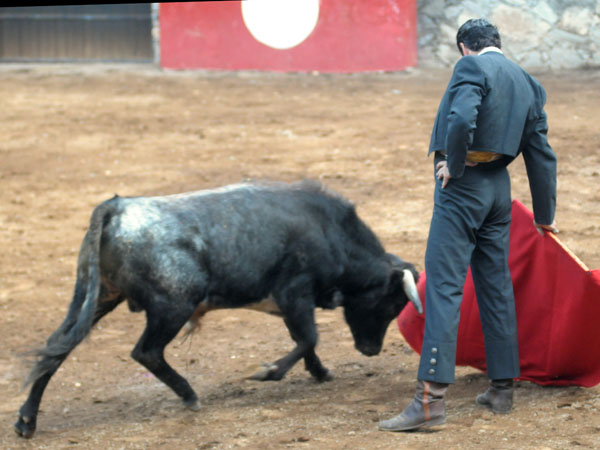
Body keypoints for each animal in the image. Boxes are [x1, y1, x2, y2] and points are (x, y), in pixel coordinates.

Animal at [14, 180, 421, 438]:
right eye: (391, 302)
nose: (371, 350)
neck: (331, 232)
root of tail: (118, 207)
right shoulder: (294, 292)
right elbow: (308, 337)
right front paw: (268, 372)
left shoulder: (292, 302)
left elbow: (305, 340)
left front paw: (320, 372)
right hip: (173, 305)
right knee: (146, 352)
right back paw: (189, 395)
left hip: (95, 296)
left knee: (56, 349)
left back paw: (26, 421)